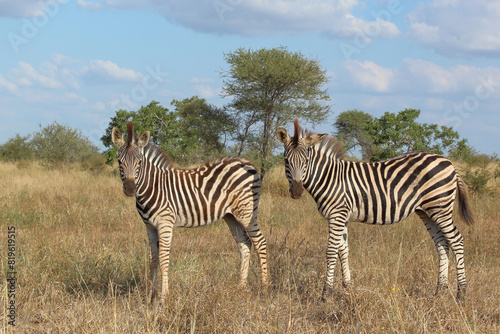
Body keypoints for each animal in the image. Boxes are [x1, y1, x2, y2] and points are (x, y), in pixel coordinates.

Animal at [111, 121, 268, 304]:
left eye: (139, 162)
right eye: (119, 161)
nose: (130, 189)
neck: (153, 187)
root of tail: (247, 162)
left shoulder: (165, 223)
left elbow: (163, 258)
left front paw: (164, 297)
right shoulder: (149, 226)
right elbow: (153, 259)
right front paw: (151, 296)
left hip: (247, 212)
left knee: (260, 242)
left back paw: (265, 288)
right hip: (231, 216)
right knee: (245, 244)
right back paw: (241, 287)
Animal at [276, 119, 474, 300]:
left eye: (306, 161)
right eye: (286, 161)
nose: (297, 191)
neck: (329, 177)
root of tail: (449, 163)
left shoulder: (336, 215)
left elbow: (331, 251)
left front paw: (326, 294)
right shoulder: (342, 217)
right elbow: (343, 250)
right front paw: (348, 289)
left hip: (440, 208)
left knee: (456, 240)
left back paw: (461, 293)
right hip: (427, 211)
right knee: (442, 244)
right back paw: (439, 291)